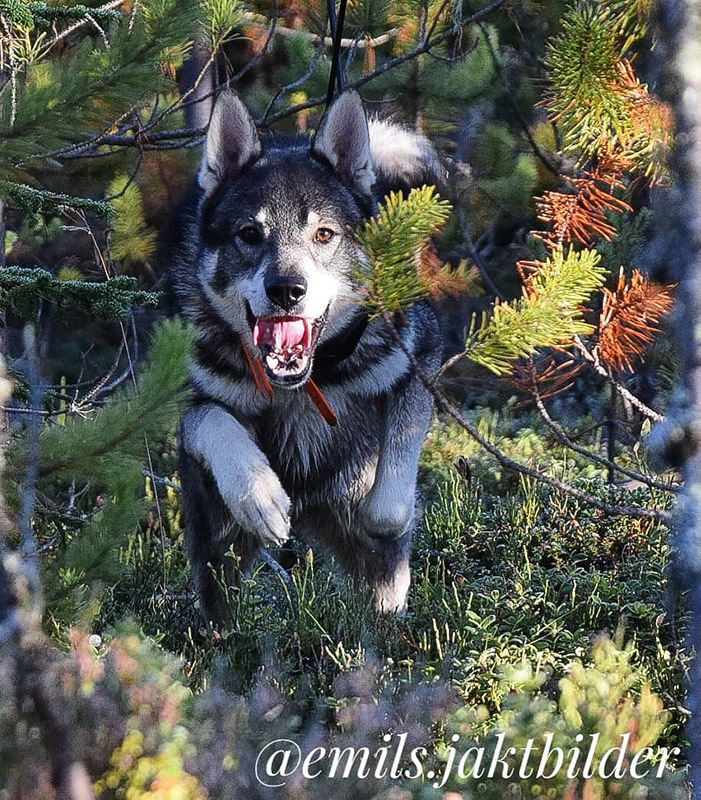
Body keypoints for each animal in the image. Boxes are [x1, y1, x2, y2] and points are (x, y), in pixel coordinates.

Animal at [168, 87, 442, 624]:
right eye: (250, 234)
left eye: (324, 234)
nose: (287, 290)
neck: (300, 388)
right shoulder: (185, 407)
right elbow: (215, 422)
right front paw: (260, 496)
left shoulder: (418, 367)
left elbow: (393, 488)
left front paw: (383, 513)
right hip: (216, 557)